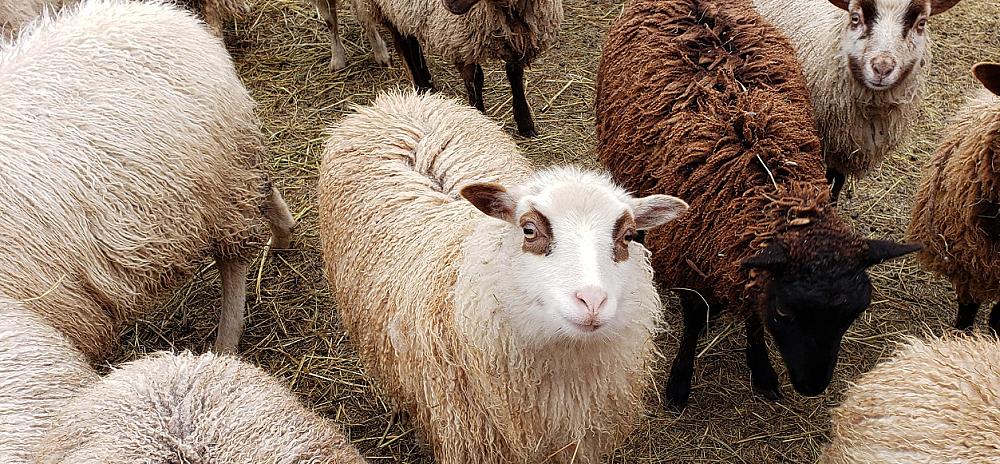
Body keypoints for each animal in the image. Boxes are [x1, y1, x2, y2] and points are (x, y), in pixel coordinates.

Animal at [0, 0, 297, 361]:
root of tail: (173, 18)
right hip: (234, 157)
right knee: (265, 187)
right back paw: (283, 233)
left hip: (217, 185)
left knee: (233, 263)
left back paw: (225, 342)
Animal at [311, 0, 562, 137]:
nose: (447, 4)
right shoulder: (460, 38)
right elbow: (475, 79)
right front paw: (479, 118)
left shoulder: (520, 39)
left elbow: (515, 75)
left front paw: (526, 123)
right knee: (401, 42)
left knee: (408, 39)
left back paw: (426, 84)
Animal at [595, 0, 920, 407]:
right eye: (784, 310)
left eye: (852, 315)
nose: (812, 386)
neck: (765, 184)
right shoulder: (689, 254)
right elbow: (693, 319)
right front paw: (679, 382)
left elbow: (751, 309)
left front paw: (762, 370)